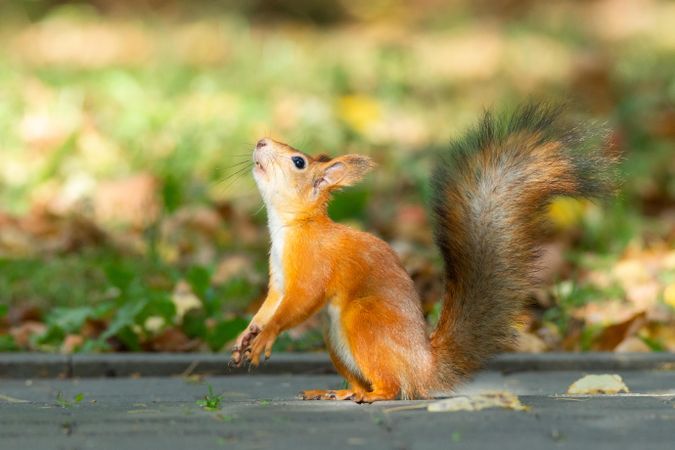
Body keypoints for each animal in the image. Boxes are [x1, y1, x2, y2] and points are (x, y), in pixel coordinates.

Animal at [232, 103, 616, 402]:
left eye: (298, 161)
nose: (261, 141)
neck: (292, 226)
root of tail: (424, 368)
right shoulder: (279, 279)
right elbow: (271, 303)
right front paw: (246, 335)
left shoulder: (315, 264)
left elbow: (300, 302)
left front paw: (265, 337)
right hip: (335, 339)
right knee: (366, 381)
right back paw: (338, 391)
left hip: (364, 320)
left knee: (394, 387)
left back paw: (374, 395)